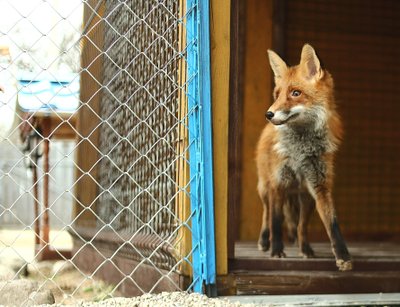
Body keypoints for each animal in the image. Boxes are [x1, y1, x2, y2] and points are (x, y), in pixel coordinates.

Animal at [256, 44, 354, 272]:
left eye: (295, 93)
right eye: (277, 94)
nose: (269, 114)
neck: (300, 151)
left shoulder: (319, 187)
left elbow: (331, 224)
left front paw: (342, 256)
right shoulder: (278, 183)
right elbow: (276, 222)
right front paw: (276, 251)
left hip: (304, 197)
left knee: (300, 225)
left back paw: (304, 247)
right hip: (265, 187)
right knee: (266, 214)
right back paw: (264, 242)